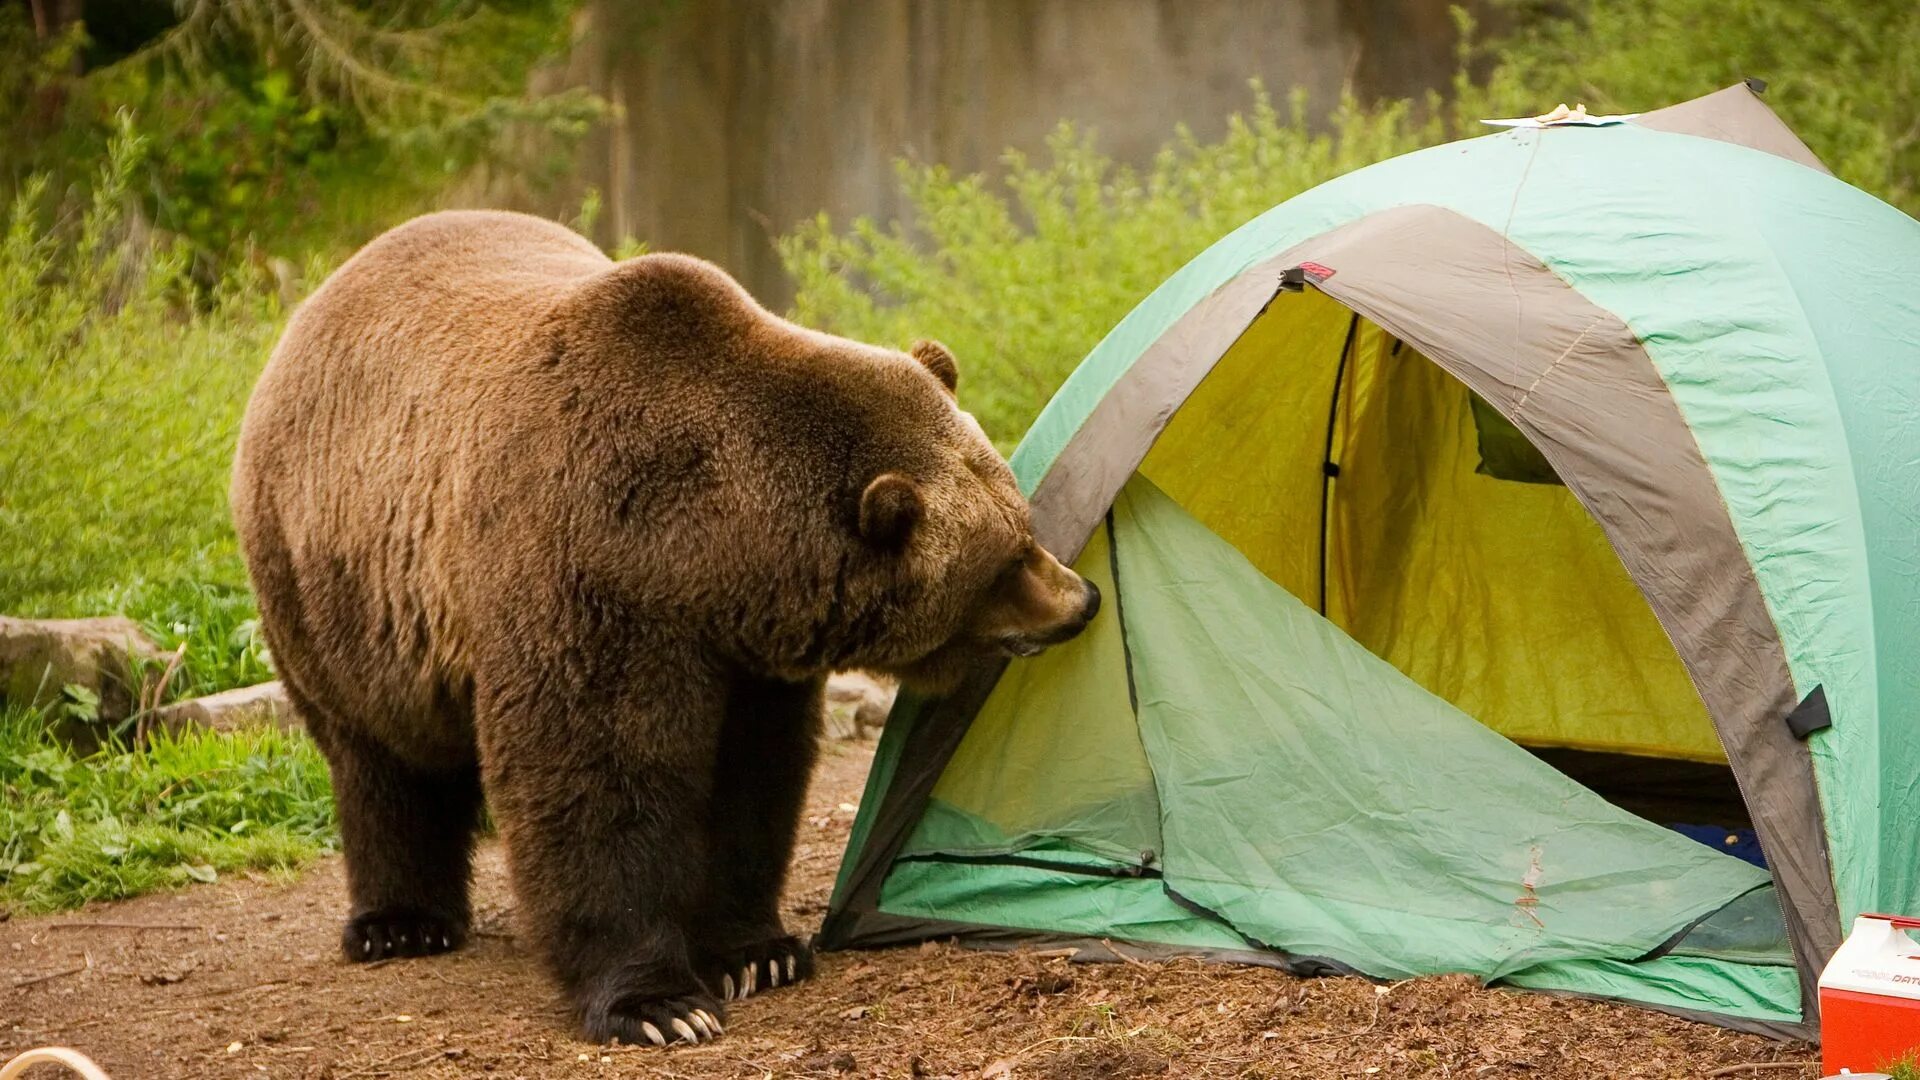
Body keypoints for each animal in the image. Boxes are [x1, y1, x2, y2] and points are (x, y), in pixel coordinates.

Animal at [228, 208, 1098, 1045]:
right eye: (1006, 560)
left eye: (1023, 520)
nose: (1082, 598)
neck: (708, 548)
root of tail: (322, 298)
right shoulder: (587, 576)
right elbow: (599, 777)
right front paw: (659, 1002)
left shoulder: (746, 652)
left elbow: (752, 779)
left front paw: (758, 952)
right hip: (334, 587)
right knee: (379, 758)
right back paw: (399, 924)